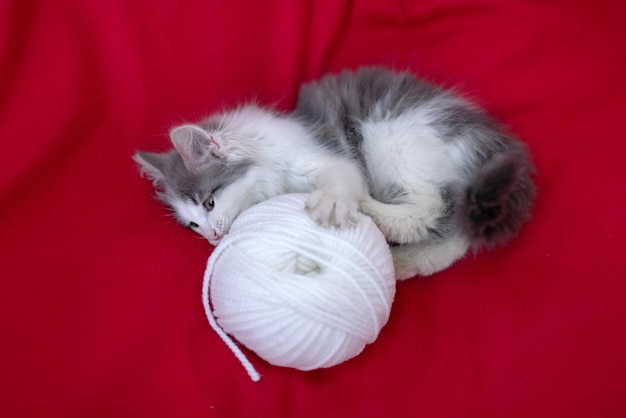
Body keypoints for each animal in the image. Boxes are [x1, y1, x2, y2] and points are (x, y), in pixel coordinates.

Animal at [134, 67, 532, 280]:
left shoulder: (326, 158)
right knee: (456, 234)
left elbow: (341, 179)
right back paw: (403, 263)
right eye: (192, 225)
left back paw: (373, 213)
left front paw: (331, 204)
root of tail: (496, 142)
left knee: (431, 208)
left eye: (210, 203)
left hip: (392, 136)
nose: (212, 237)